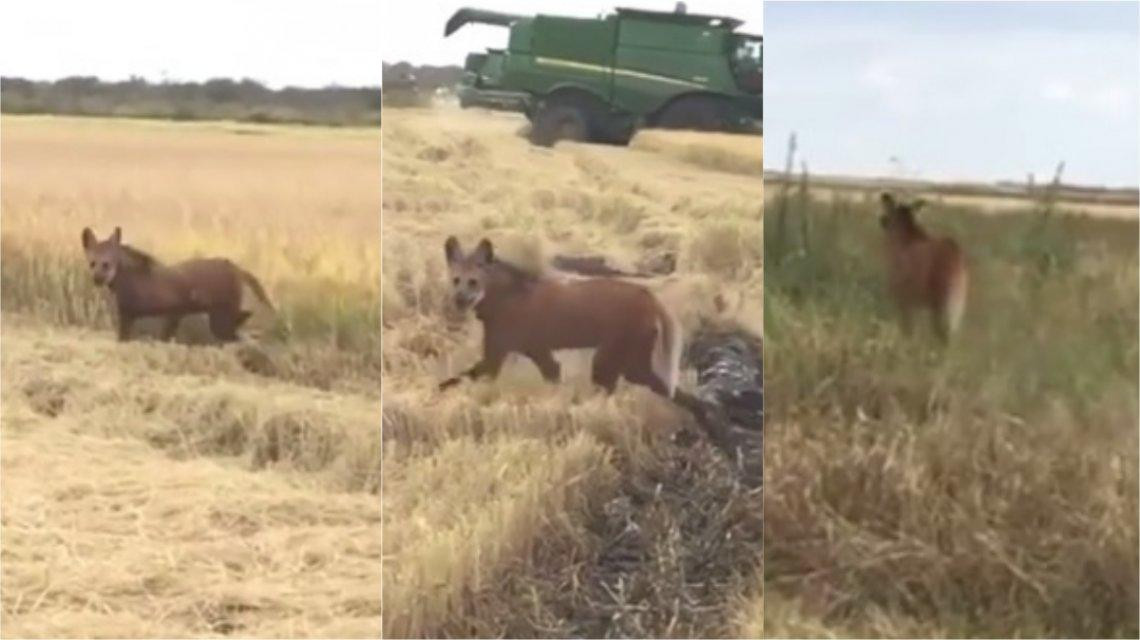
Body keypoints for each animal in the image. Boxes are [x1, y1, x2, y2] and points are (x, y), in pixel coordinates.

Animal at [80, 227, 273, 342]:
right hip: (222, 315)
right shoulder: (166, 316)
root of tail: (237, 268)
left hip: (221, 316)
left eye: (107, 264)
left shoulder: (128, 315)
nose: (97, 279)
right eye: (92, 263)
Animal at [437, 236, 679, 394]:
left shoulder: (495, 359)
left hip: (610, 363)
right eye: (456, 280)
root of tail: (650, 297)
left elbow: (449, 382)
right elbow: (553, 375)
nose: (459, 300)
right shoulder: (536, 353)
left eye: (473, 282)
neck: (505, 295)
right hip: (631, 366)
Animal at [875, 191, 966, 342]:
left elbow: (908, 330)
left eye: (889, 212)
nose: (882, 220)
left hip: (941, 306)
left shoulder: (904, 302)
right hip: (955, 310)